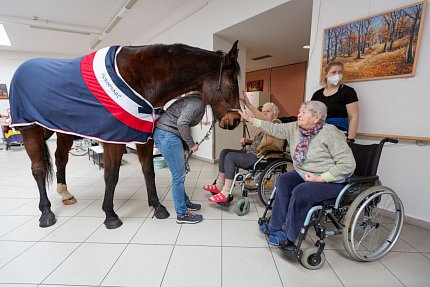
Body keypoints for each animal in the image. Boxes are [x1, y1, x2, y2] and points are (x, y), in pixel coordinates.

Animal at [9, 40, 242, 230]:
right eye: (232, 83)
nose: (235, 121)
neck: (138, 78)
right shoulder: (115, 140)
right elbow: (111, 175)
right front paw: (110, 215)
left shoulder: (144, 137)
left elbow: (148, 171)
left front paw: (157, 207)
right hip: (30, 130)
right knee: (38, 170)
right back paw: (46, 213)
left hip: (63, 131)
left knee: (60, 159)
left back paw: (65, 194)